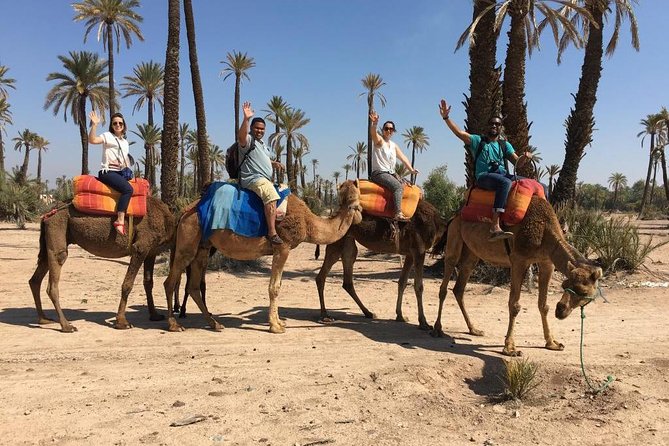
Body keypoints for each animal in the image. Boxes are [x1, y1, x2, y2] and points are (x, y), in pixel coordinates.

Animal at [29, 196, 176, 332]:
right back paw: (66, 326)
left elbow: (148, 283)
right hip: (57, 226)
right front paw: (122, 322)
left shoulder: (152, 251)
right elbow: (127, 284)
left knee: (36, 278)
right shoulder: (141, 247)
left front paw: (155, 315)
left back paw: (44, 319)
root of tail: (47, 214)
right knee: (56, 268)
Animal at [163, 180, 363, 333]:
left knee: (193, 286)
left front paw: (279, 321)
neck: (308, 223)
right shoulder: (283, 246)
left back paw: (215, 323)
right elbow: (274, 287)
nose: (360, 210)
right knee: (170, 282)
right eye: (358, 193)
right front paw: (275, 326)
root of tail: (184, 211)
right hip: (188, 239)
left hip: (202, 247)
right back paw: (174, 324)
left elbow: (277, 285)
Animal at [315, 199, 447, 329]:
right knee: (321, 276)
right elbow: (418, 286)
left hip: (348, 241)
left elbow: (402, 282)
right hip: (337, 240)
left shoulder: (410, 254)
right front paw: (424, 323)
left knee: (347, 279)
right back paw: (325, 315)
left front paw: (400, 316)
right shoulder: (419, 250)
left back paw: (368, 312)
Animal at [431, 196, 603, 356]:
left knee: (459, 287)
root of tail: (454, 217)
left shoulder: (547, 262)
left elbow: (543, 305)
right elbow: (514, 305)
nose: (560, 310)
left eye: (583, 291)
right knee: (445, 281)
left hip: (471, 252)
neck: (545, 230)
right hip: (454, 237)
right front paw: (510, 348)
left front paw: (552, 343)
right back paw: (437, 329)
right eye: (565, 286)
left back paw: (474, 329)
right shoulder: (519, 260)